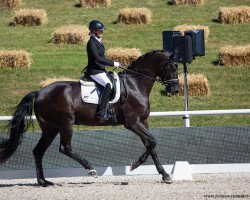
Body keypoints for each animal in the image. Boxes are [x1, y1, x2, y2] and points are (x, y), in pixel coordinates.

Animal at [0, 49, 180, 187]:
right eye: (173, 66)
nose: (176, 90)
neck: (135, 85)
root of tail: (39, 93)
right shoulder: (133, 123)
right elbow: (153, 142)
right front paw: (135, 165)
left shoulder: (143, 122)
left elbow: (151, 145)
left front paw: (165, 175)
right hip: (66, 124)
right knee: (65, 148)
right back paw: (90, 169)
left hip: (50, 128)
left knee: (38, 151)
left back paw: (44, 182)